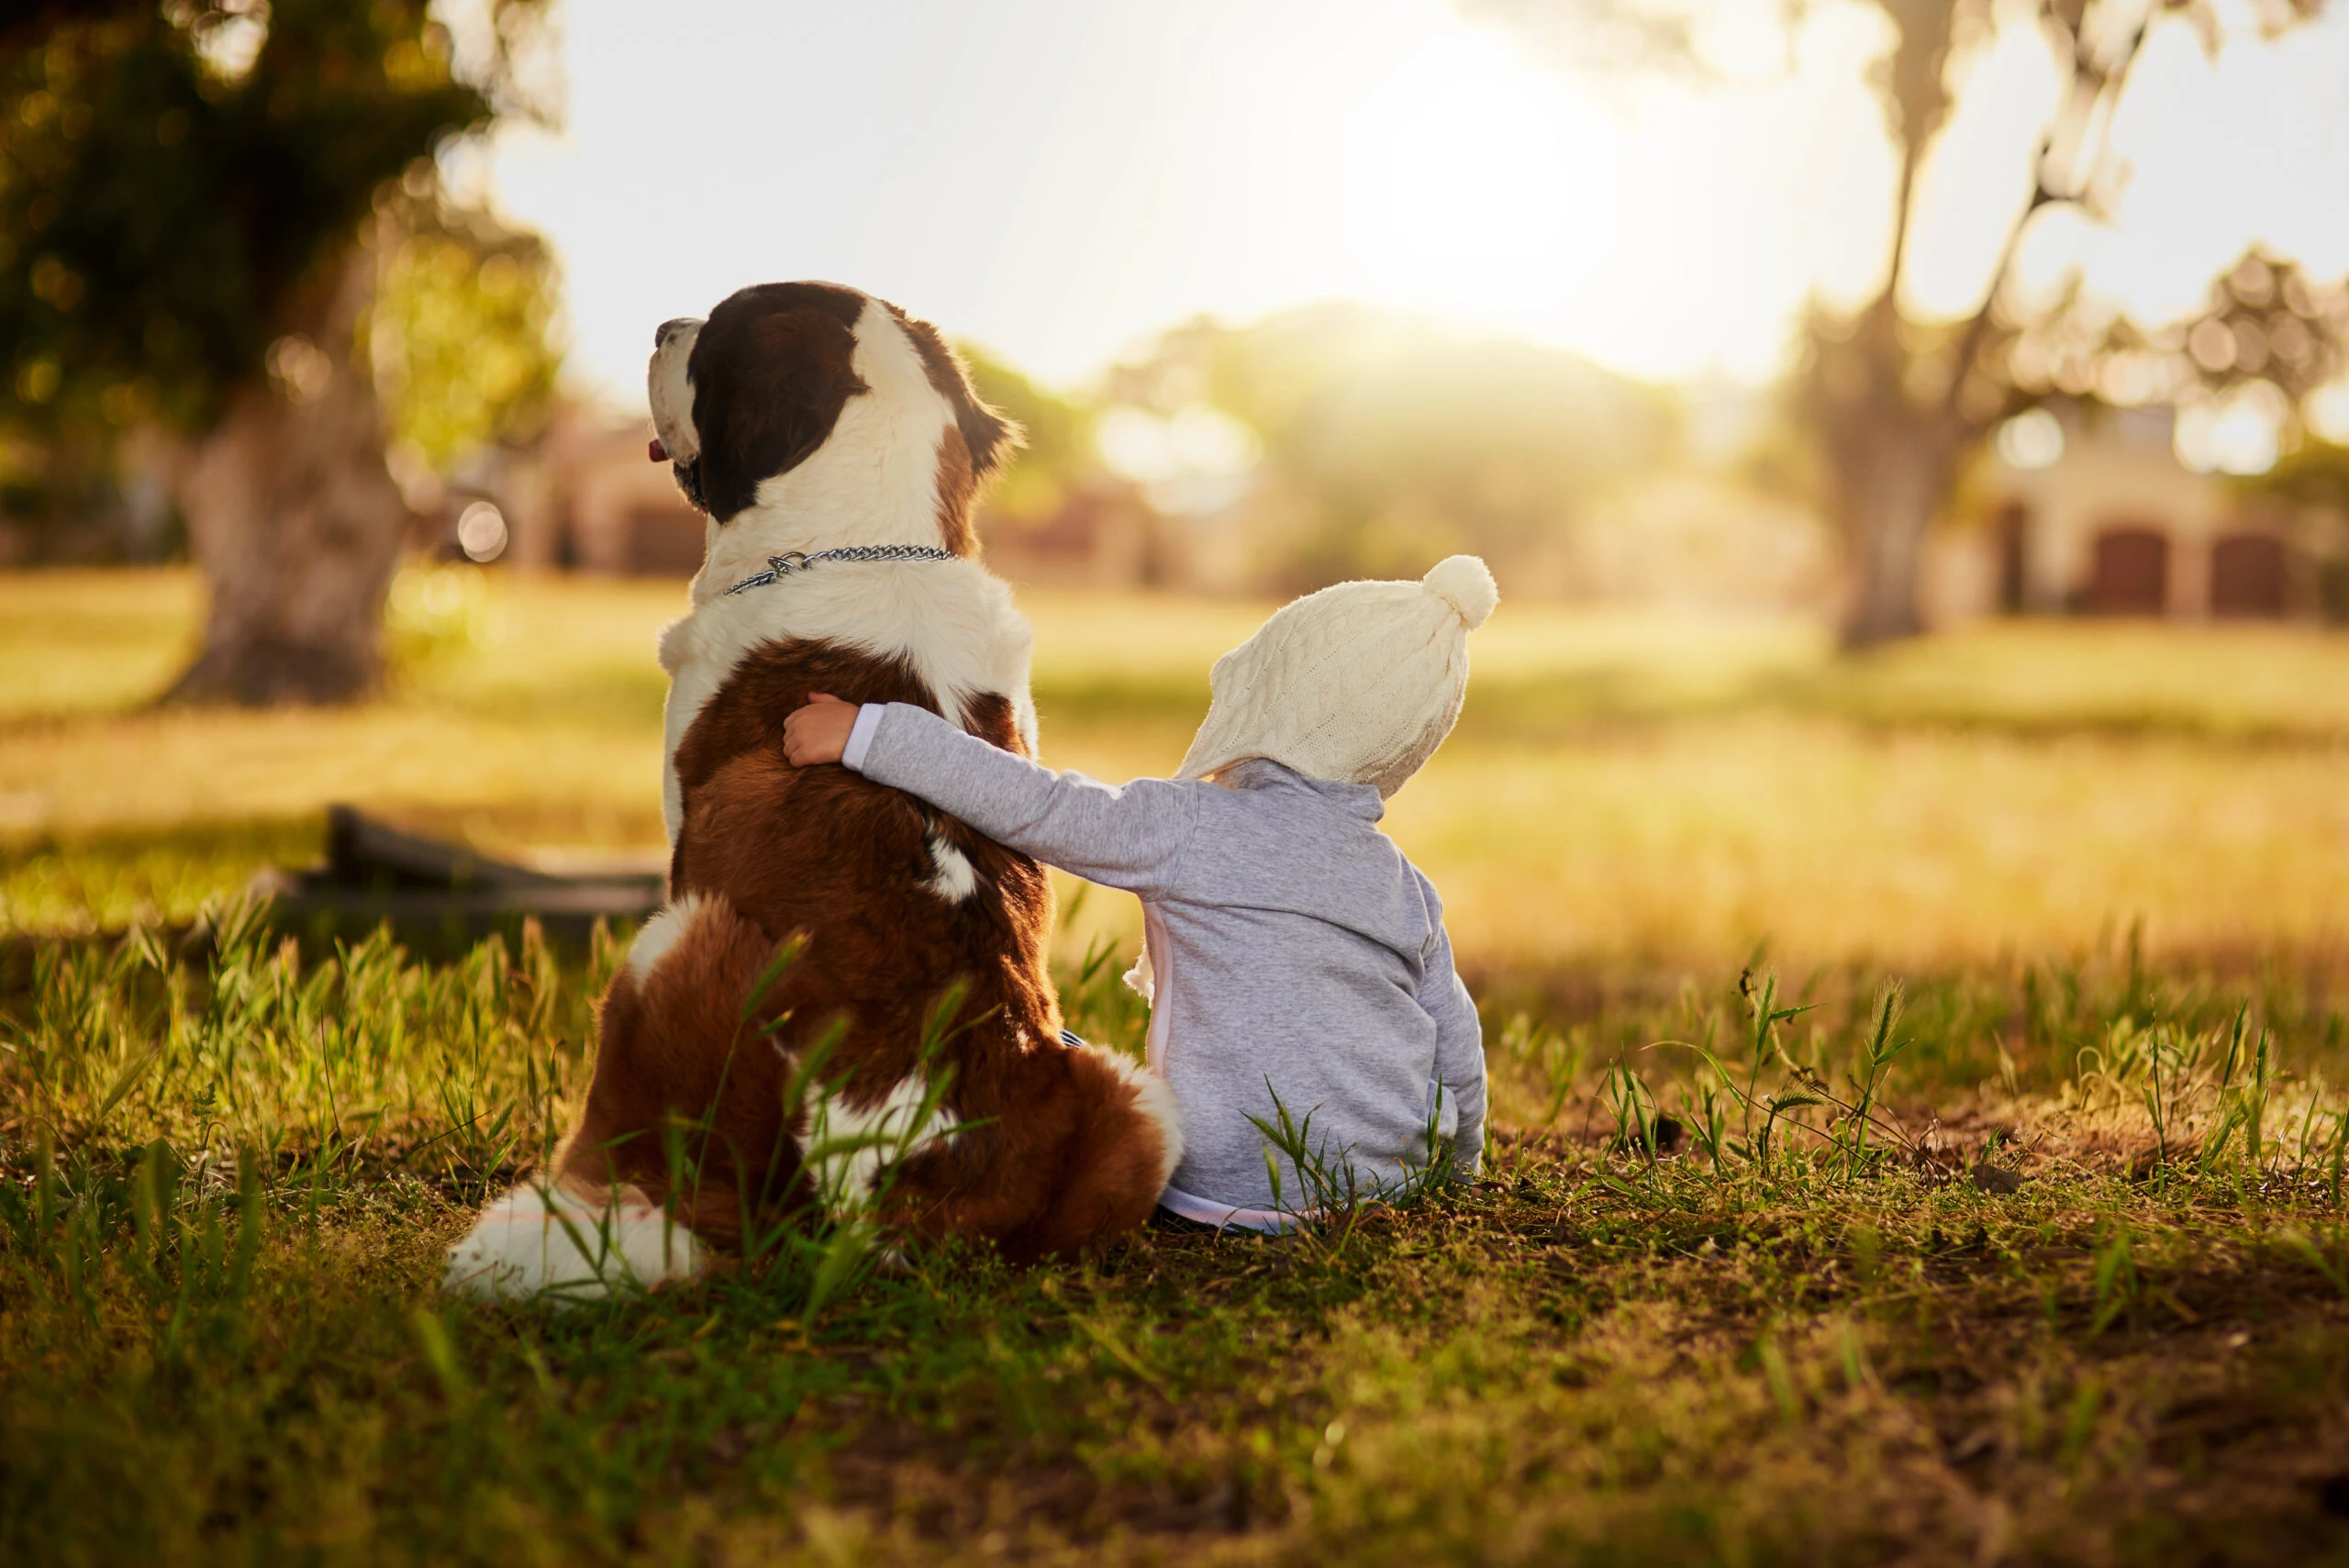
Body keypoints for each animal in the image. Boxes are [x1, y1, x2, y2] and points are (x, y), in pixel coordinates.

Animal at [443, 282, 1174, 1296]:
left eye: (714, 334)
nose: (664, 325)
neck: (871, 545)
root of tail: (900, 1195)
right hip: (1139, 1103)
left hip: (674, 940)